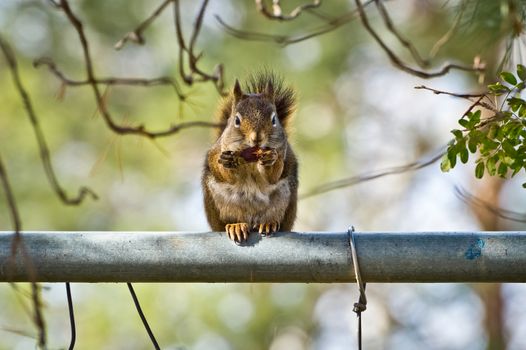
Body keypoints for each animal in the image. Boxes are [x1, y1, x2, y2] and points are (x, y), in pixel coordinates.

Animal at [202, 72, 300, 242]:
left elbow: (273, 176)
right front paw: (226, 162)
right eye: (236, 120)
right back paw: (236, 226)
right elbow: (227, 175)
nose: (257, 138)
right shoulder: (219, 150)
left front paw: (270, 160)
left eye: (273, 119)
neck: (250, 158)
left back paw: (268, 223)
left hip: (286, 201)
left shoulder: (282, 151)